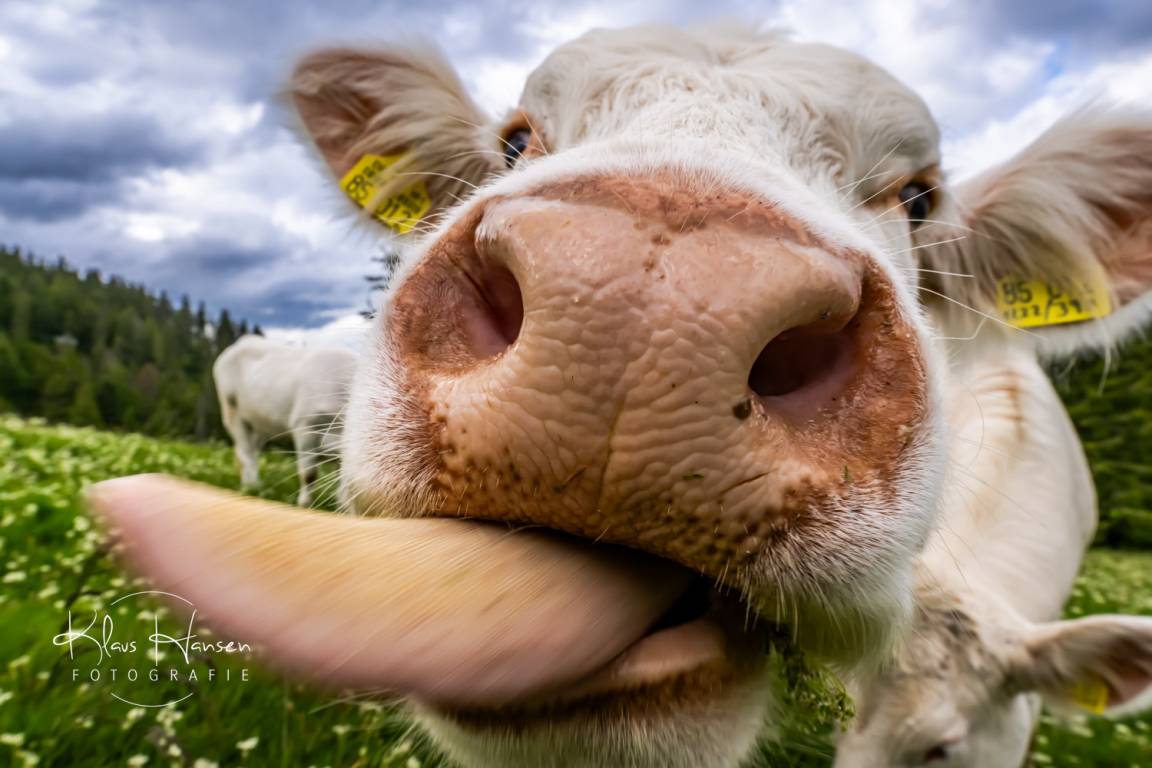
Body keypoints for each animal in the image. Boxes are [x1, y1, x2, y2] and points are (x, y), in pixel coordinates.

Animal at [213, 334, 357, 506]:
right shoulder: (305, 426)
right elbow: (309, 474)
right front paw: (304, 503)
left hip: (259, 423)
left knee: (253, 451)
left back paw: (255, 485)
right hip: (232, 411)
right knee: (244, 452)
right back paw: (250, 487)